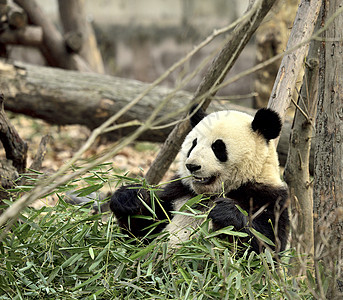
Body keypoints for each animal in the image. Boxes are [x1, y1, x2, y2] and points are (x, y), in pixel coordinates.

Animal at [111, 106, 290, 252]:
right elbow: (144, 231)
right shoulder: (179, 191)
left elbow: (266, 246)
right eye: (193, 144)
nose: (192, 166)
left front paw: (225, 212)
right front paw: (129, 198)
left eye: (218, 147)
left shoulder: (267, 196)